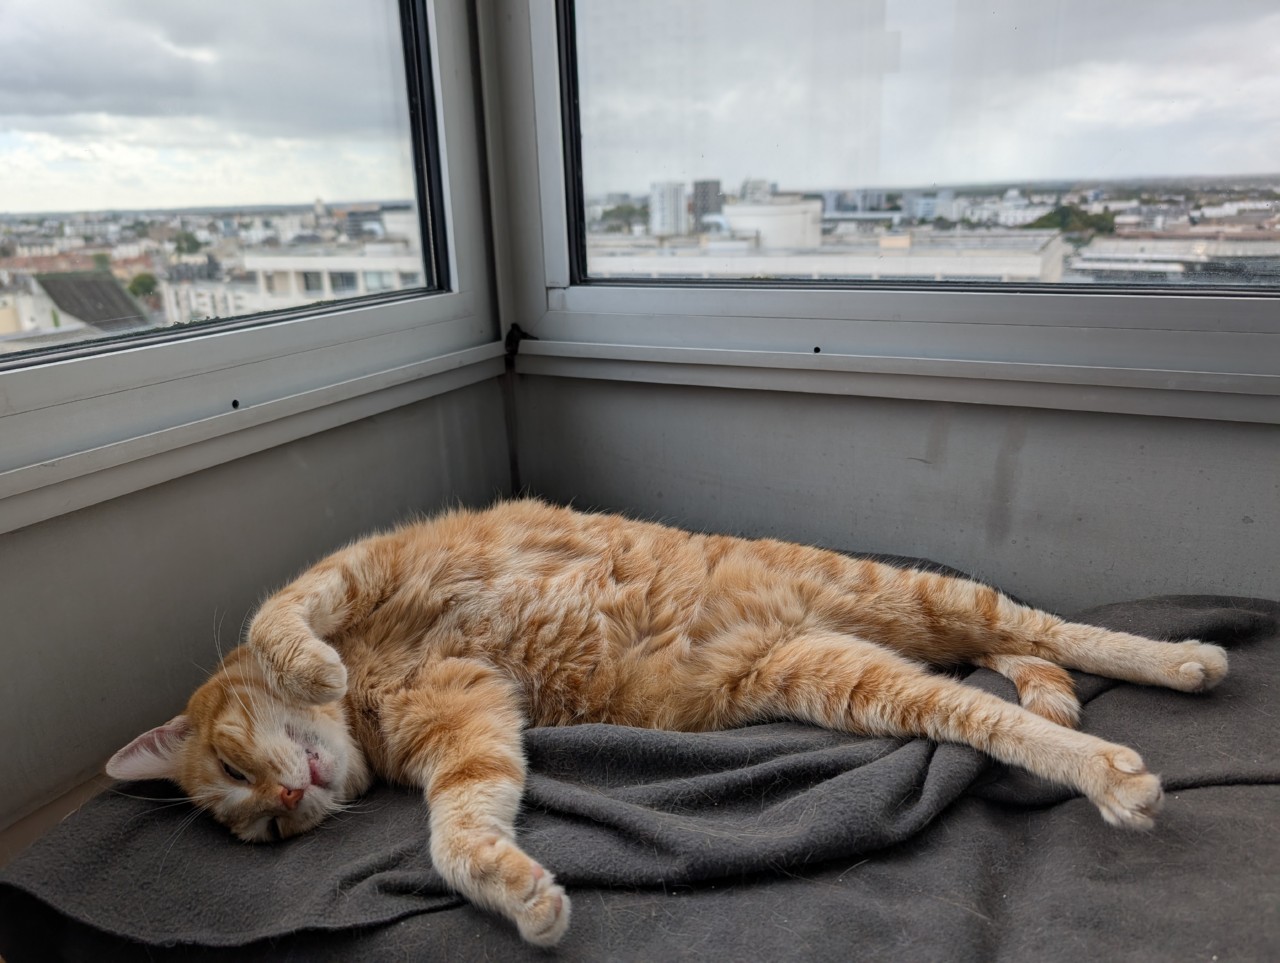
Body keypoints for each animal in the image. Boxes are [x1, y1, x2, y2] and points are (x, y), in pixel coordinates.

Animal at [107, 499, 1229, 947]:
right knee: (988, 701)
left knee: (1048, 629)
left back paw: (1177, 666)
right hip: (851, 674)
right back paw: (1096, 757)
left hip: (915, 596)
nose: (287, 798)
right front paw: (521, 897)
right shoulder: (471, 731)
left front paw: (306, 662)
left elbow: (281, 618)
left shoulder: (353, 571)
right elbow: (460, 833)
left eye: (230, 768)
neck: (371, 701)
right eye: (258, 828)